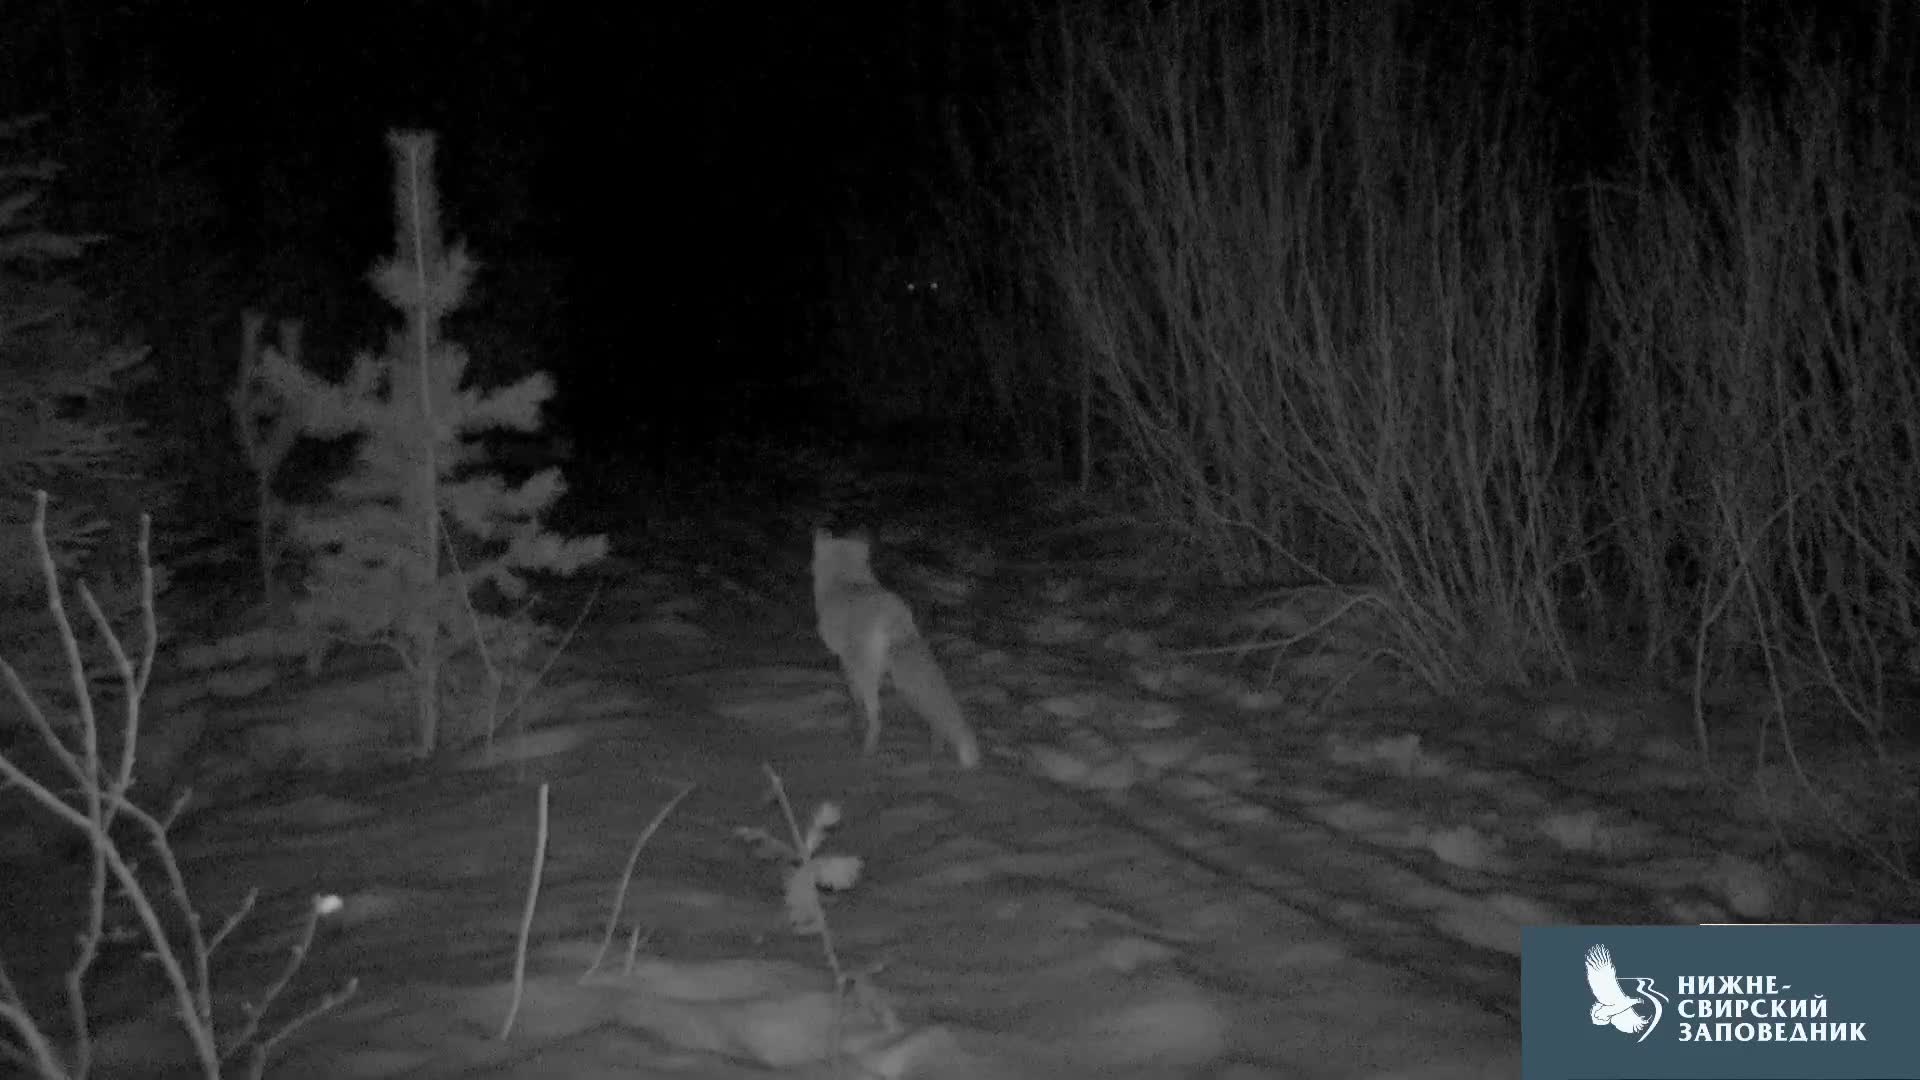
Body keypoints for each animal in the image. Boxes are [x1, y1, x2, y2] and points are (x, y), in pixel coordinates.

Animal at [806, 526, 983, 764]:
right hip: (904, 676)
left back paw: (867, 751)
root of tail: (893, 613)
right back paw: (935, 750)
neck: (845, 579)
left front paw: (854, 724)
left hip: (873, 672)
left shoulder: (847, 660)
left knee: (876, 714)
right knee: (935, 715)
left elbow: (855, 697)